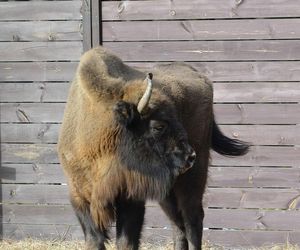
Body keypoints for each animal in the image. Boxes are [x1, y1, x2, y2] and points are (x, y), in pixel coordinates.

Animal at [58, 46, 248, 249]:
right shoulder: (79, 196)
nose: (190, 156)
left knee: (192, 220)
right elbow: (94, 240)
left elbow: (126, 241)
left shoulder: (131, 197)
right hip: (168, 191)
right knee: (177, 223)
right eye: (158, 126)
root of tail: (200, 76)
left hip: (192, 179)